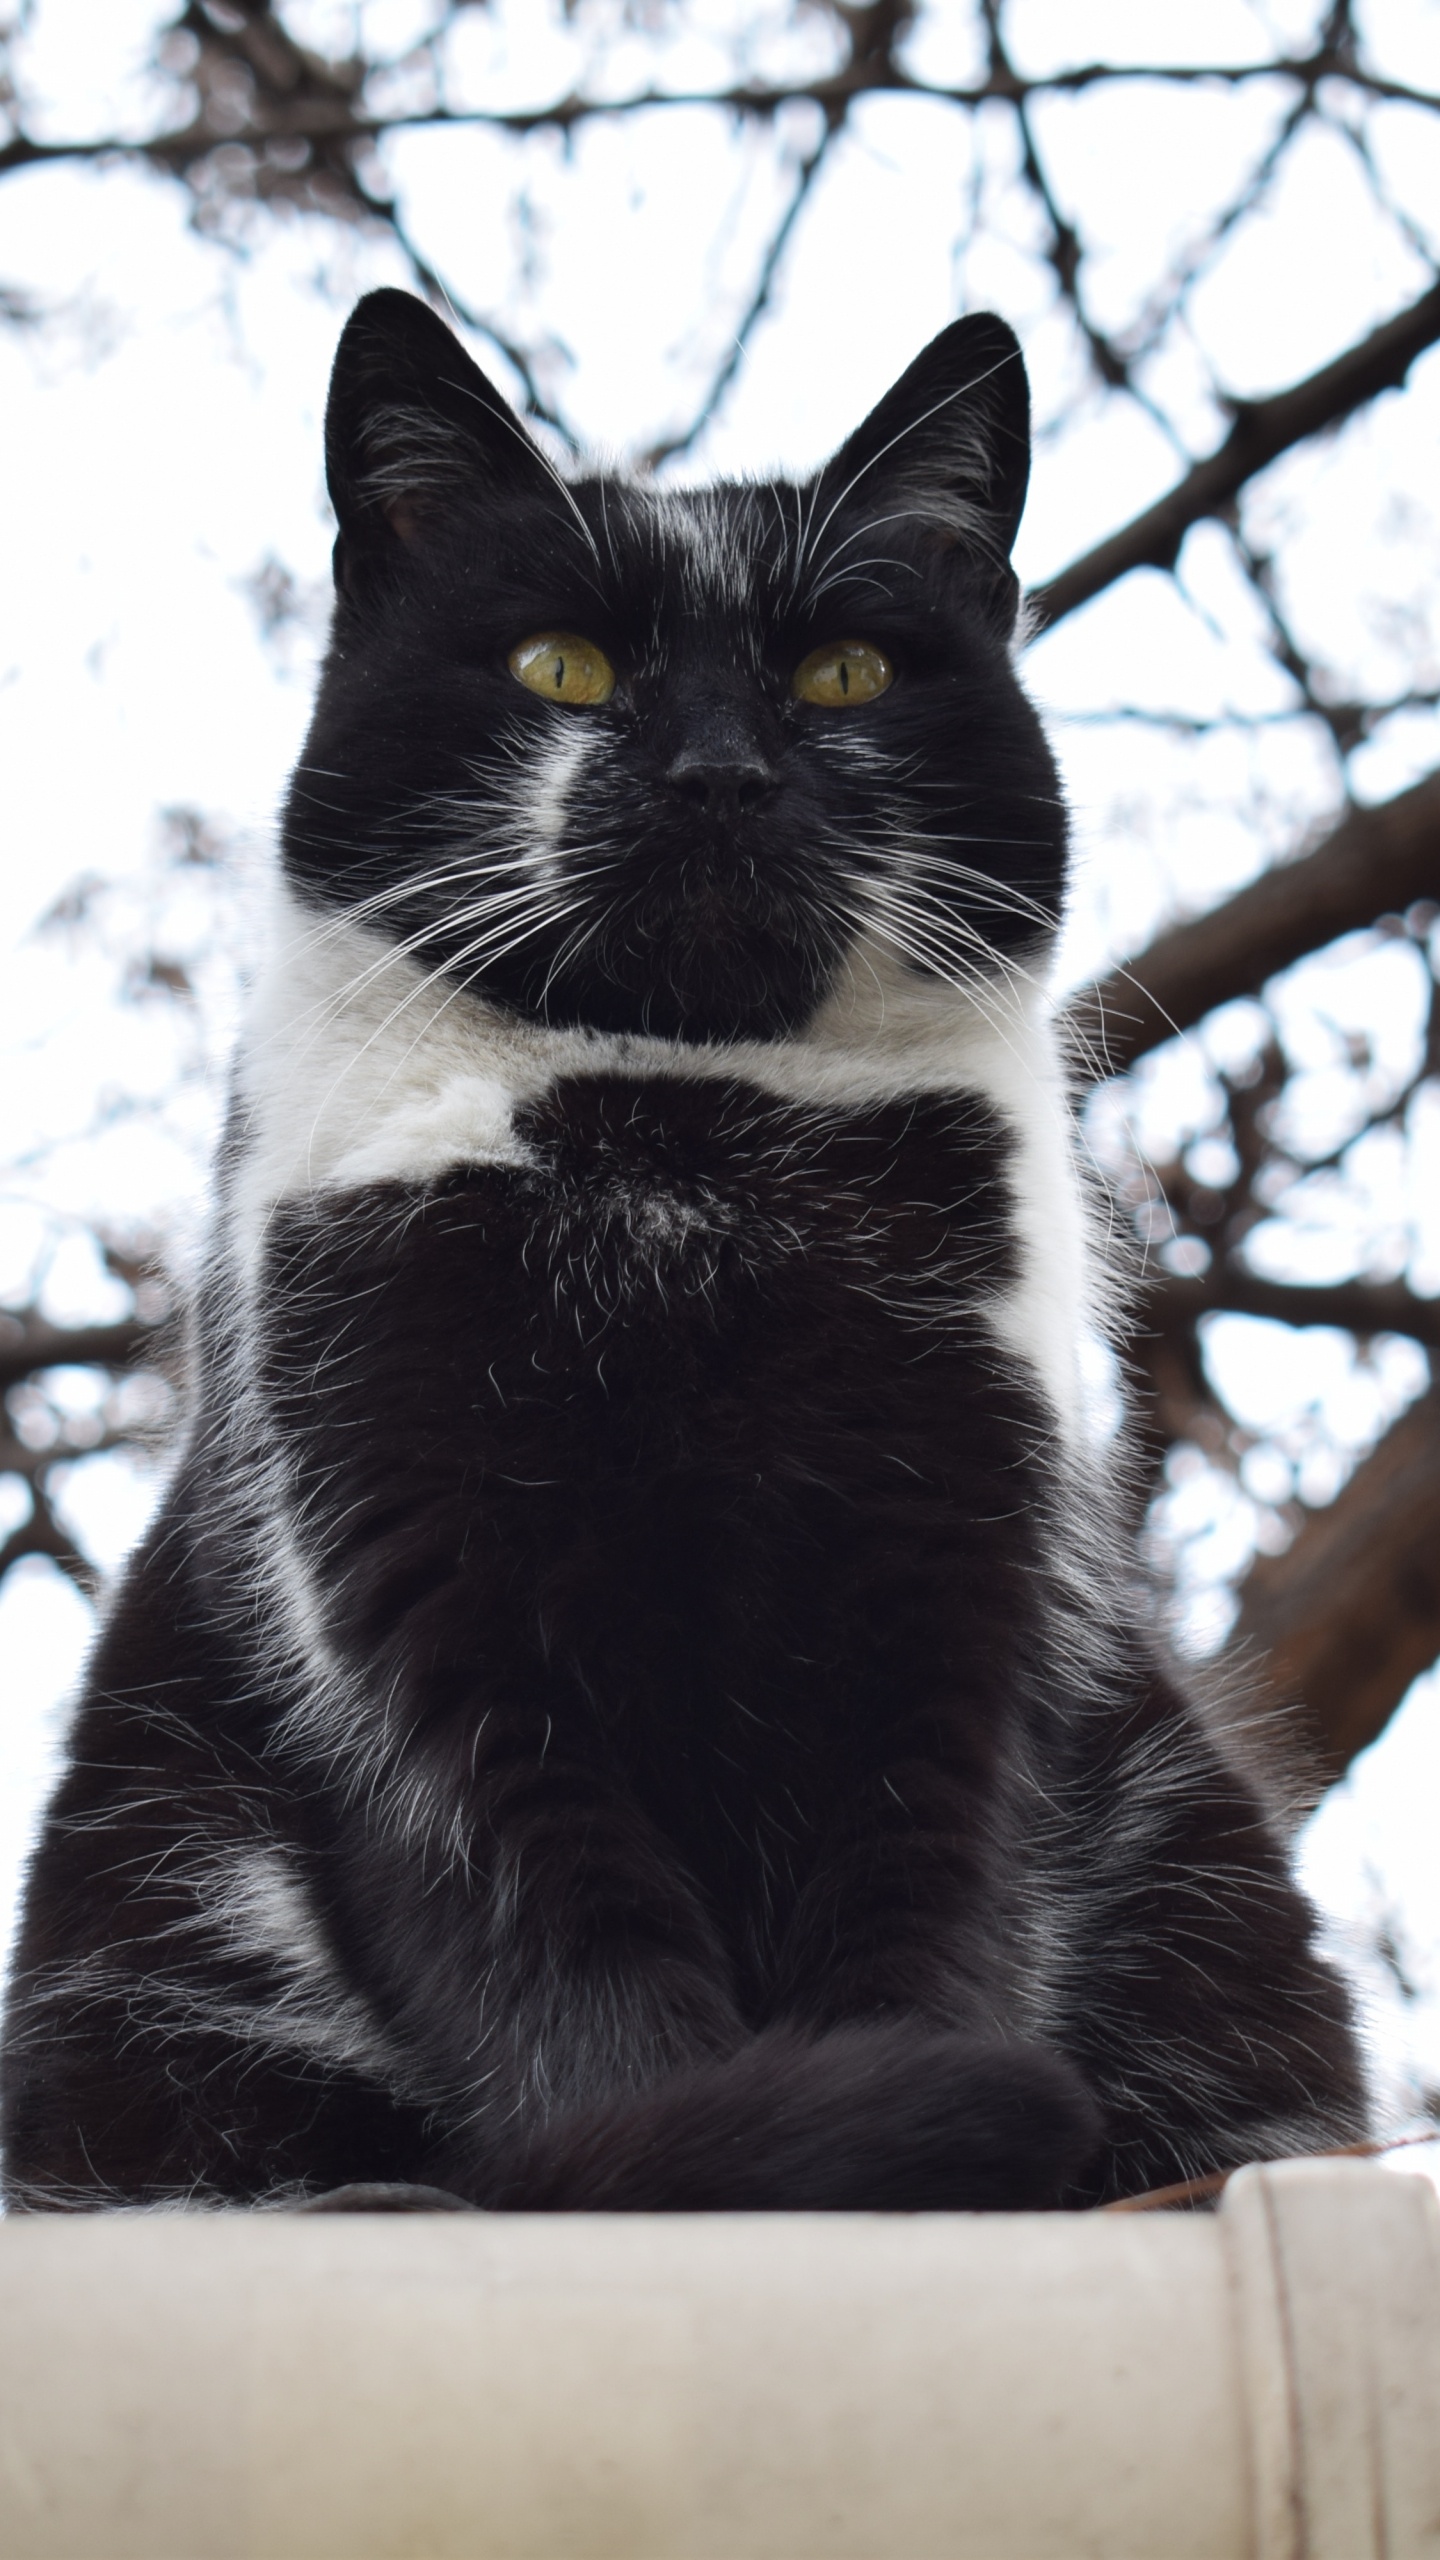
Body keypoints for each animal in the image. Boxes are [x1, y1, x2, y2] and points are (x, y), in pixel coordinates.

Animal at [0, 290, 1363, 2211]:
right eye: (560, 668)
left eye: (846, 675)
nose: (720, 770)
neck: (682, 1148)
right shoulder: (408, 1586)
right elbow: (561, 1961)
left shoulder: (957, 1577)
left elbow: (921, 1898)